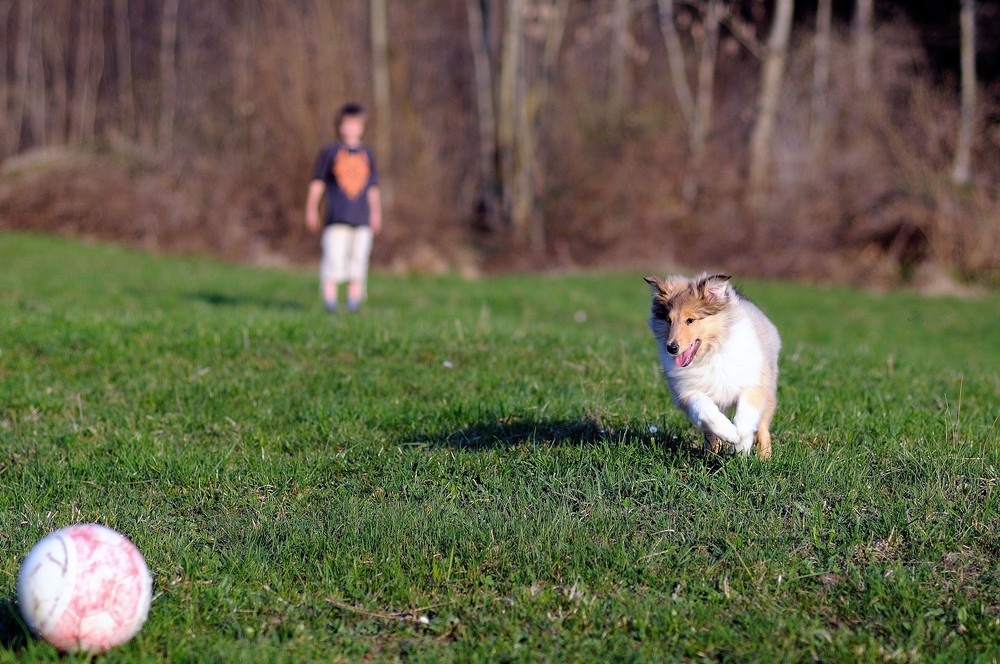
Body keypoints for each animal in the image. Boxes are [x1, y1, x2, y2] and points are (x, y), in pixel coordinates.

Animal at [648, 274, 780, 456]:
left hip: (769, 391)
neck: (710, 354)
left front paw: (739, 447)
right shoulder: (687, 393)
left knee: (763, 429)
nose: (671, 348)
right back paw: (711, 453)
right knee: (710, 434)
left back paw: (764, 458)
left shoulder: (754, 384)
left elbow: (745, 417)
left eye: (690, 320)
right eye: (668, 320)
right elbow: (705, 409)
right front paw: (730, 434)